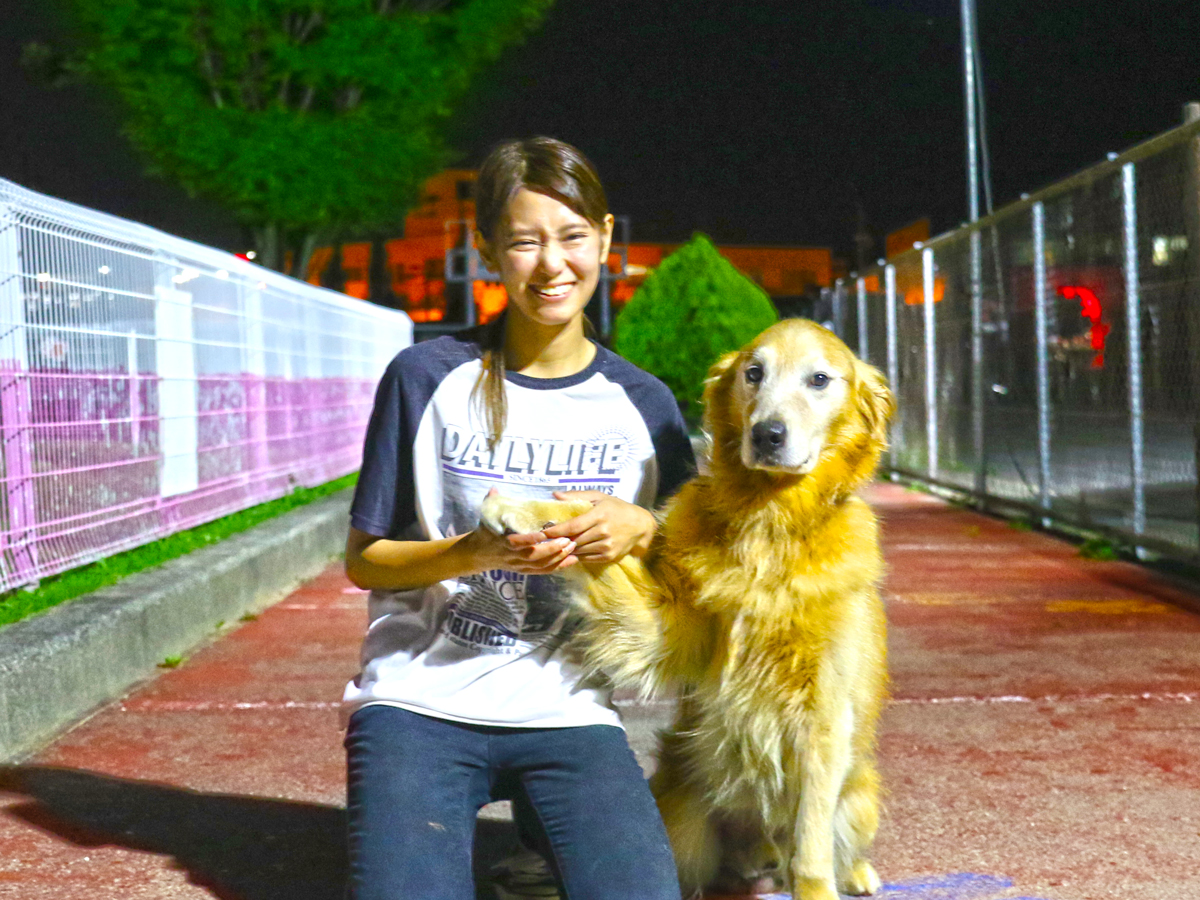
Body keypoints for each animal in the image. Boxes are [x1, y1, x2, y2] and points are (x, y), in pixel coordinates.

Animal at [477, 321, 892, 897]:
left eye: (820, 380)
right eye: (753, 373)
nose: (767, 434)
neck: (768, 522)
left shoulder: (823, 718)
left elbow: (811, 841)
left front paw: (818, 885)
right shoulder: (666, 629)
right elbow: (598, 537)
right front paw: (523, 505)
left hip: (861, 796)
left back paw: (855, 872)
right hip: (684, 822)